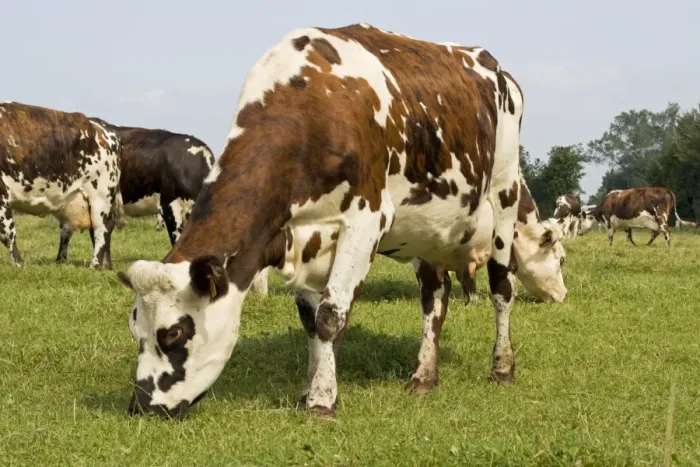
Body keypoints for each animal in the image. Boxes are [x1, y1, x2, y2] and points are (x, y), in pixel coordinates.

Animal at [0, 101, 124, 268]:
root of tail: (103, 129)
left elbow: (8, 232)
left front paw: (18, 263)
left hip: (101, 193)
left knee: (102, 227)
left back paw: (95, 264)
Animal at [115, 24, 555, 420]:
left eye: (174, 332)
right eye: (135, 330)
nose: (143, 406)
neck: (312, 107)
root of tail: (493, 65)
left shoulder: (366, 219)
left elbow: (330, 316)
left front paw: (322, 400)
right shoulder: (298, 234)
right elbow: (311, 320)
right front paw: (310, 388)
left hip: (504, 195)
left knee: (501, 288)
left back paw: (502, 366)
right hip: (426, 228)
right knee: (435, 296)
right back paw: (424, 375)